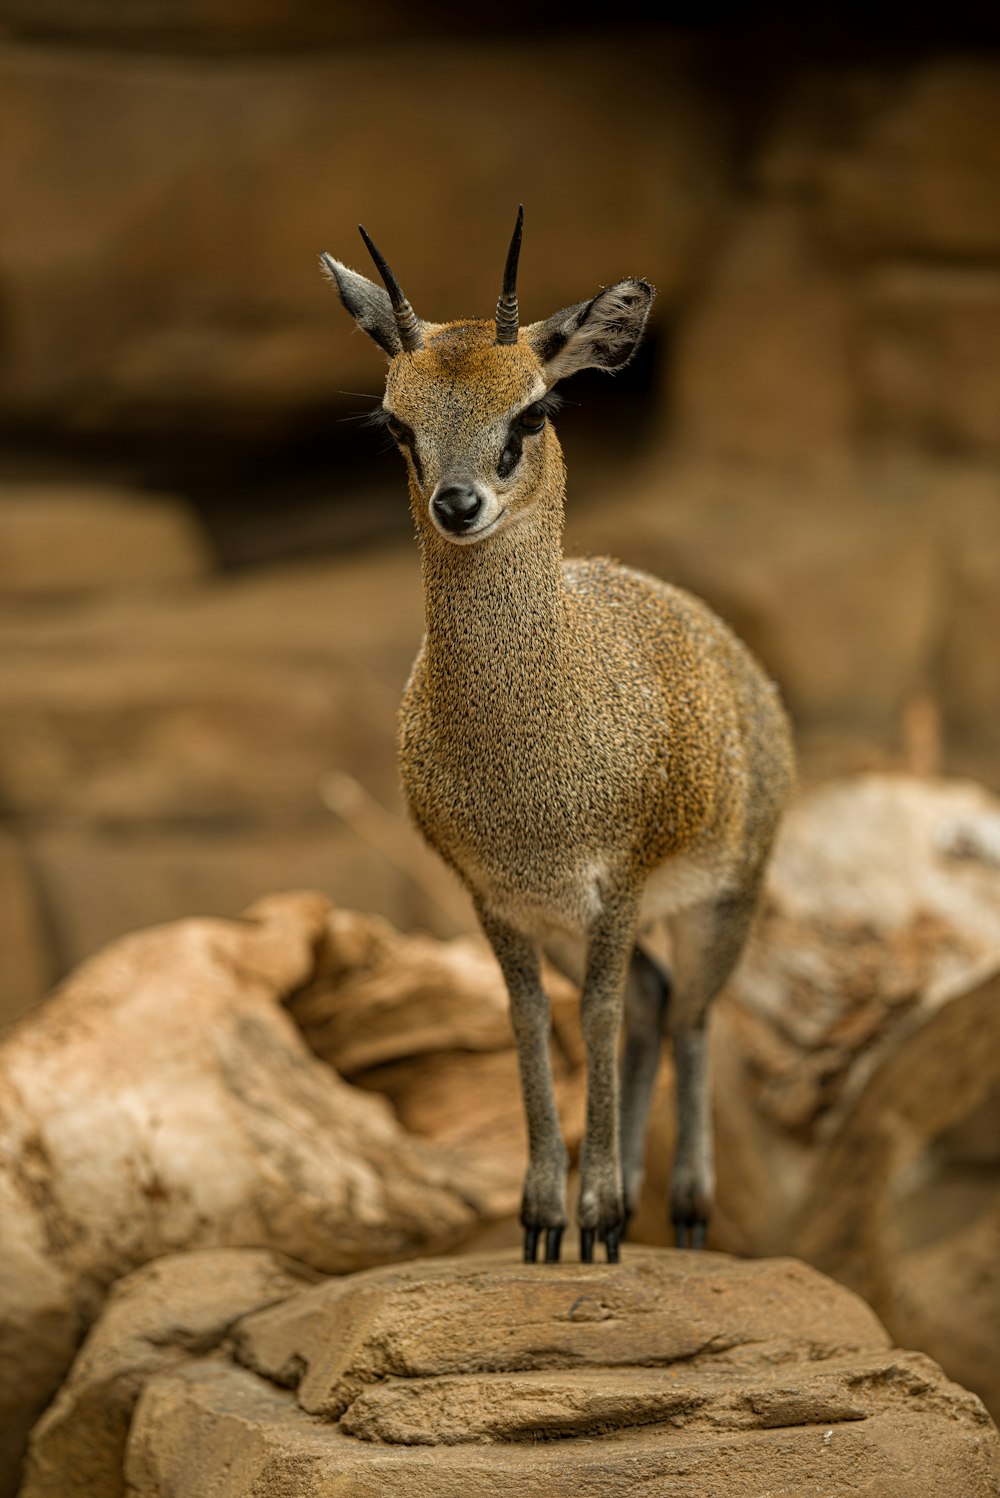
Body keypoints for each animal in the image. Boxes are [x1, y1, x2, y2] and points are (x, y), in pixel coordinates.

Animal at [324, 211, 790, 1264]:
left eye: (532, 412)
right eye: (397, 423)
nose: (458, 504)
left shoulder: (615, 887)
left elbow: (605, 1016)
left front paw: (602, 1213)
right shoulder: (498, 899)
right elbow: (531, 1021)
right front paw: (546, 1218)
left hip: (725, 898)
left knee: (691, 1012)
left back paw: (684, 1212)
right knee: (660, 1003)